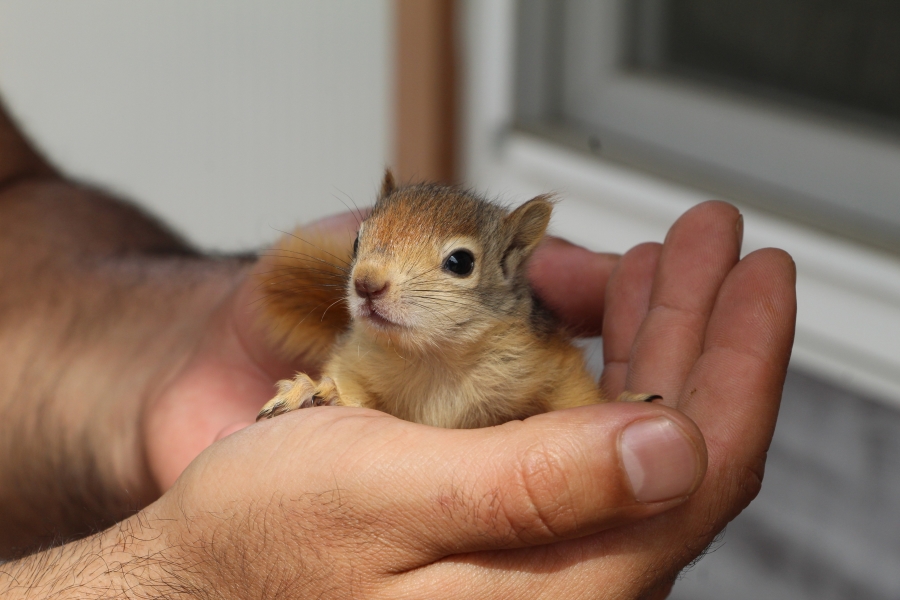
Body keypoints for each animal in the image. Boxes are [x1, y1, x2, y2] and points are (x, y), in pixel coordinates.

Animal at [256, 171, 656, 428]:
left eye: (461, 262)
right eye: (356, 241)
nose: (367, 283)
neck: (436, 357)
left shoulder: (552, 364)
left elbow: (576, 399)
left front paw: (622, 403)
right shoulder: (356, 363)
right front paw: (314, 390)